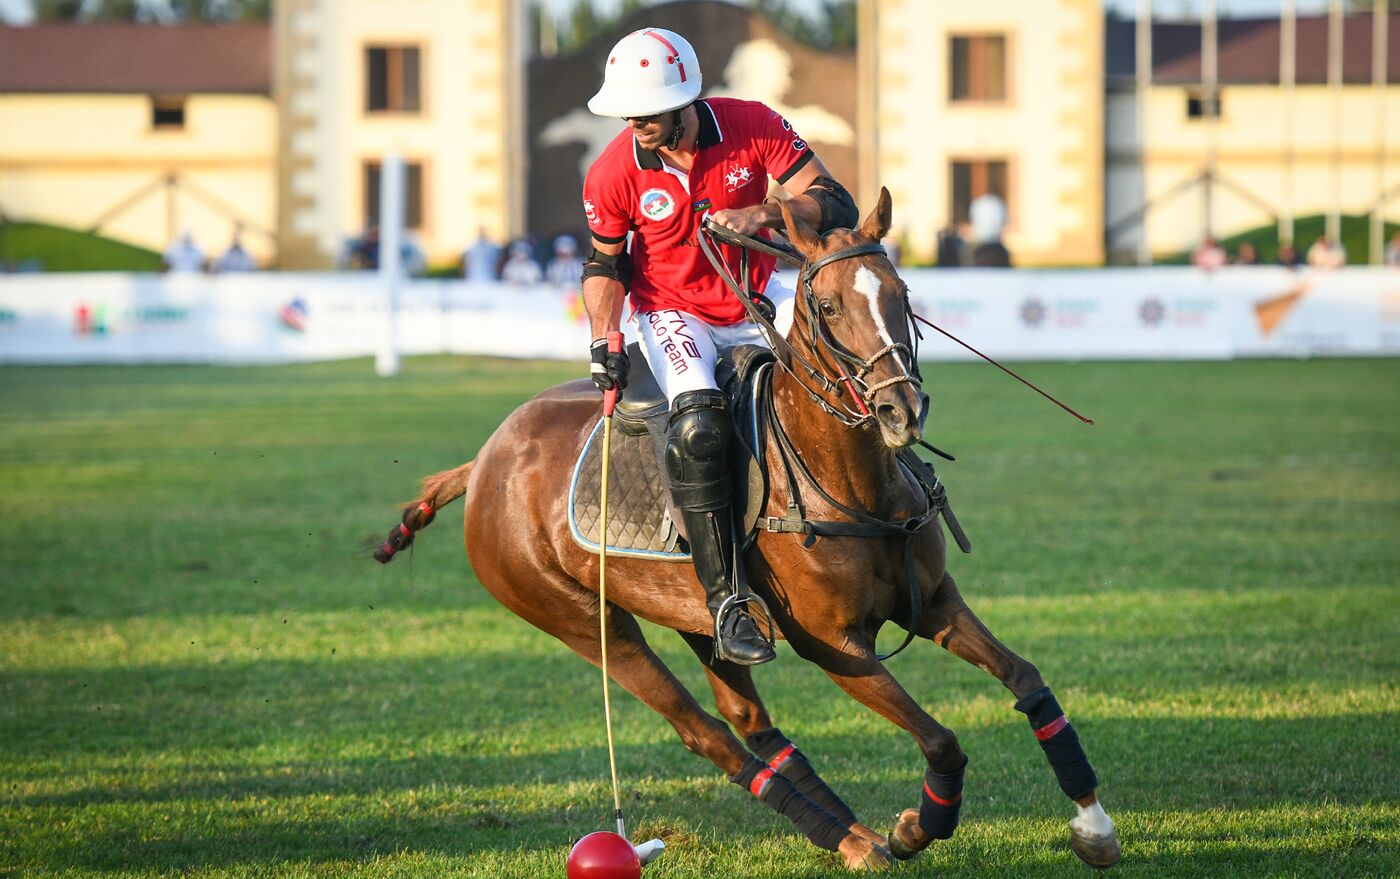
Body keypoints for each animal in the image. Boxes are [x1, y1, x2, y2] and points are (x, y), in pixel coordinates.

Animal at [378, 188, 1120, 867]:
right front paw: (918, 825)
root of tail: (484, 460)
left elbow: (1028, 681)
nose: (901, 410)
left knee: (749, 718)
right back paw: (851, 836)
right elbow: (941, 738)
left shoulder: (934, 601)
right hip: (578, 617)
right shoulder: (833, 644)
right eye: (828, 306)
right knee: (705, 732)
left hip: (696, 612)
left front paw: (1093, 824)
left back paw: (851, 834)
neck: (849, 478)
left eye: (901, 292)